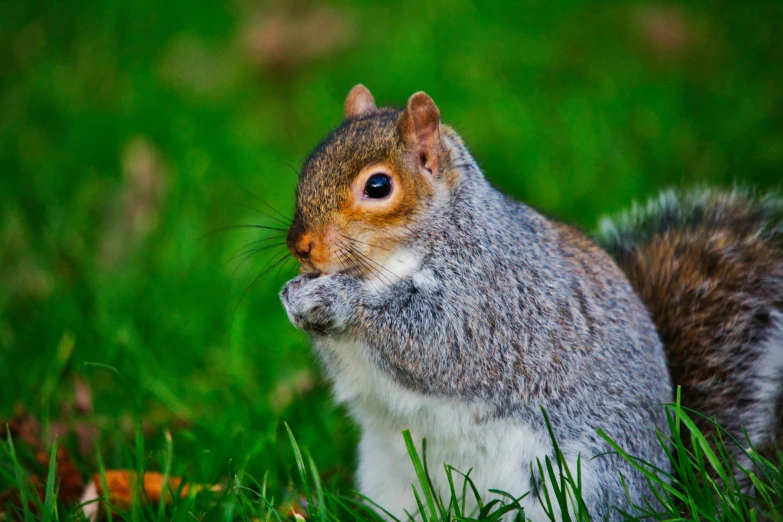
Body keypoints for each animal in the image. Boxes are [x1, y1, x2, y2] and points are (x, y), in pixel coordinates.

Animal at [278, 84, 780, 516]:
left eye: (378, 187)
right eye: (306, 169)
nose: (301, 246)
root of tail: (661, 494)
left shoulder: (492, 299)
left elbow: (433, 341)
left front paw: (335, 299)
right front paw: (293, 297)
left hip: (572, 487)